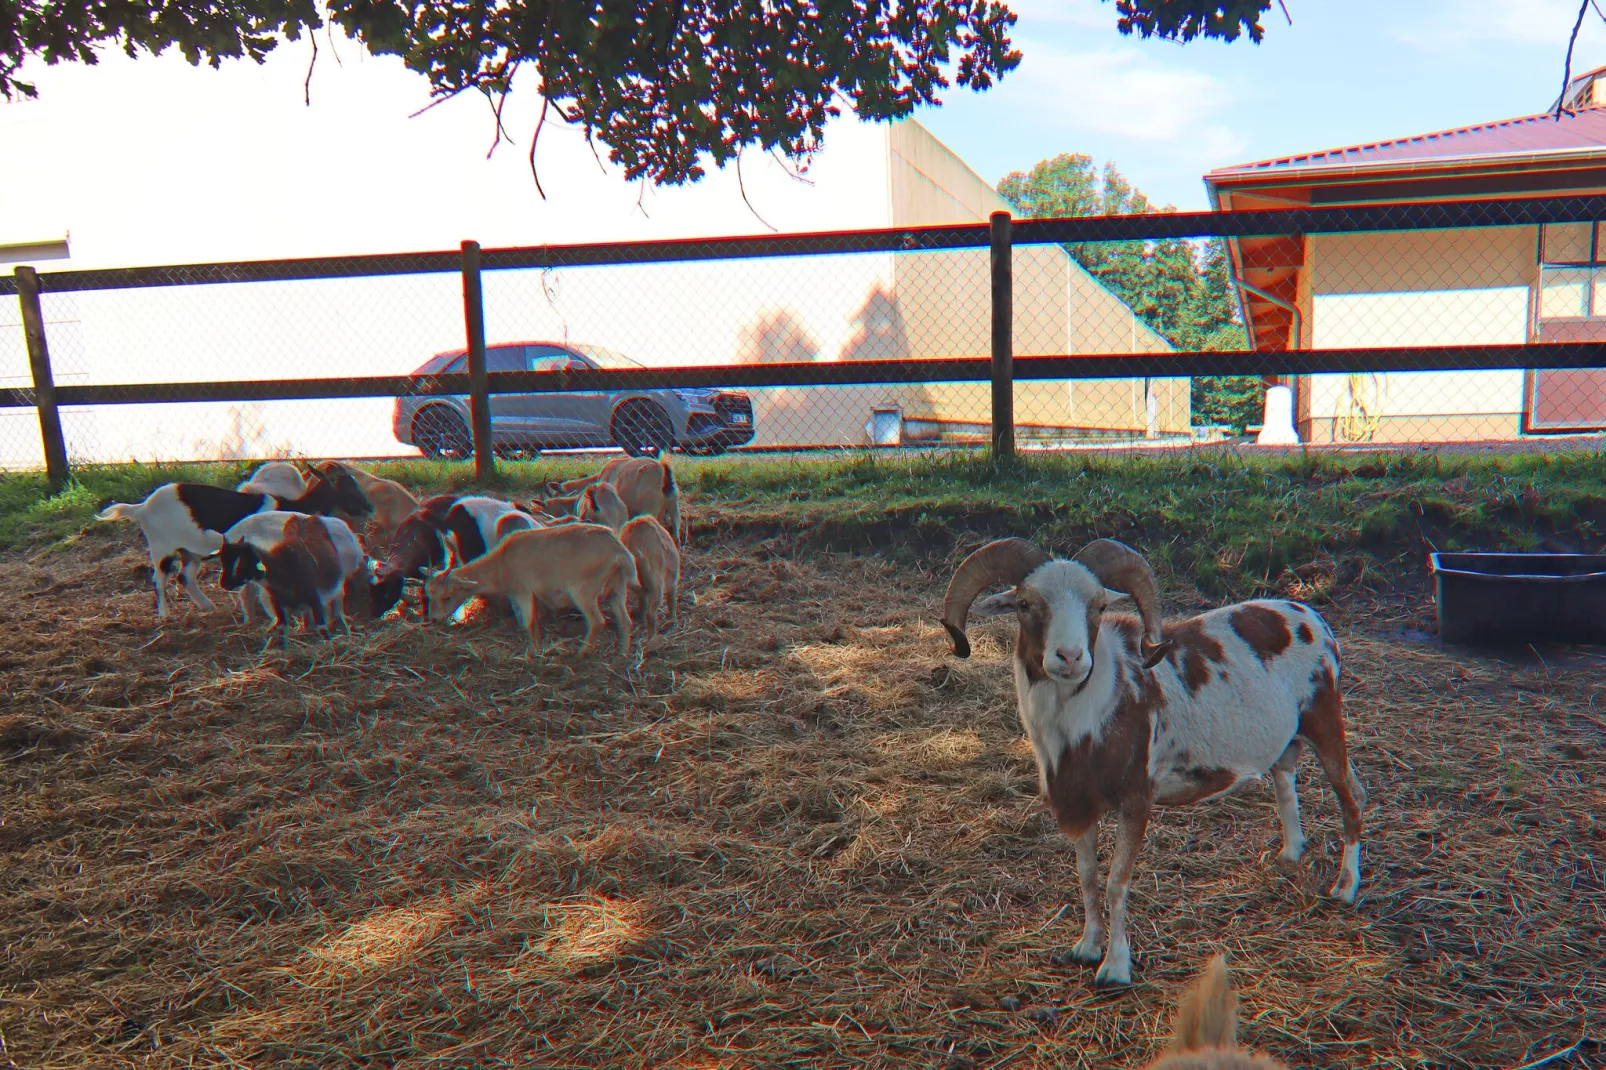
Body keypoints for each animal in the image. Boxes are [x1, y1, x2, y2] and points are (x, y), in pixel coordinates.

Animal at [93, 465, 369, 616]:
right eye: (348, 486)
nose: (367, 508)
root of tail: (141, 508)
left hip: (189, 550)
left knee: (185, 577)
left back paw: (207, 606)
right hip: (161, 546)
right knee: (159, 580)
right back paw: (164, 615)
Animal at [220, 514, 369, 645]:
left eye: (243, 563)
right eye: (224, 561)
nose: (223, 584)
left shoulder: (315, 598)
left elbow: (321, 627)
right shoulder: (280, 606)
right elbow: (283, 630)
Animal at [423, 517, 635, 658]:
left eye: (447, 596)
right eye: (429, 594)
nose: (434, 619)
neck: (500, 565)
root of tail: (619, 552)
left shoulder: (522, 591)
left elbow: (528, 621)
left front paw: (533, 653)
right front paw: (538, 647)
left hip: (584, 592)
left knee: (597, 621)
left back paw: (581, 654)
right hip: (617, 589)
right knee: (625, 620)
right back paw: (623, 655)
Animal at [937, 536, 1368, 989]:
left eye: (1099, 606)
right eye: (1024, 604)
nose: (1070, 657)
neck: (1091, 715)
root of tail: (1311, 617)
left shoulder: (1135, 800)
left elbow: (1116, 882)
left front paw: (1114, 968)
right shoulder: (1079, 800)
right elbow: (1087, 877)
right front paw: (1086, 948)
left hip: (1325, 720)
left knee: (1352, 797)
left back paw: (1344, 889)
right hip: (1288, 736)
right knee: (1285, 777)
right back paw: (1289, 854)